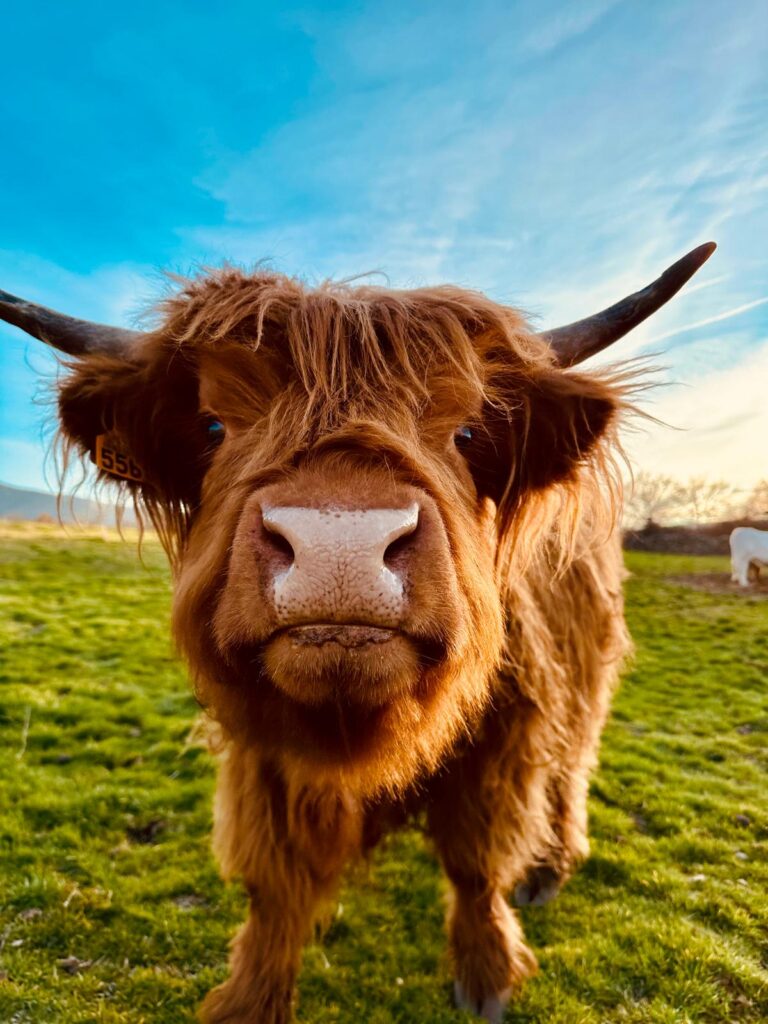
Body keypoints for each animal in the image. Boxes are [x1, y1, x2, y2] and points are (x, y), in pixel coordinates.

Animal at [1, 242, 715, 1023]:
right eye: (215, 427)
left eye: (466, 433)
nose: (338, 547)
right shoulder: (262, 745)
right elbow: (274, 883)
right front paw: (250, 997)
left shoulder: (507, 731)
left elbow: (476, 859)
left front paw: (487, 974)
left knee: (568, 774)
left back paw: (550, 868)